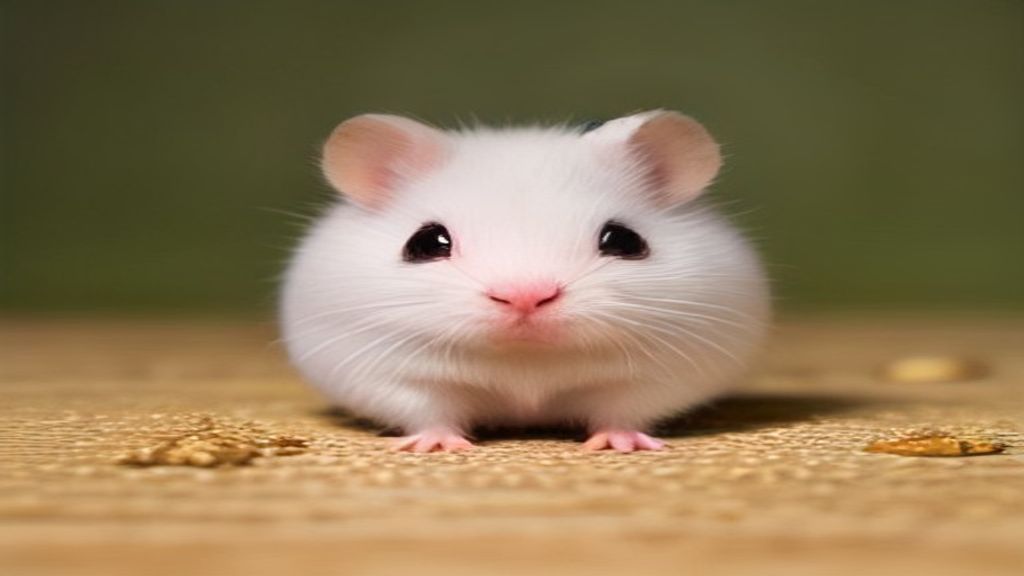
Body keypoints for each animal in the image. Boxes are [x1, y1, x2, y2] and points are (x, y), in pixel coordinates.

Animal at [280, 110, 770, 453]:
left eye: (625, 240)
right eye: (424, 243)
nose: (525, 298)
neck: (527, 365)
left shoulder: (657, 377)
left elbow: (622, 410)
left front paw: (620, 444)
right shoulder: (391, 374)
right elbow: (429, 411)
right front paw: (437, 446)